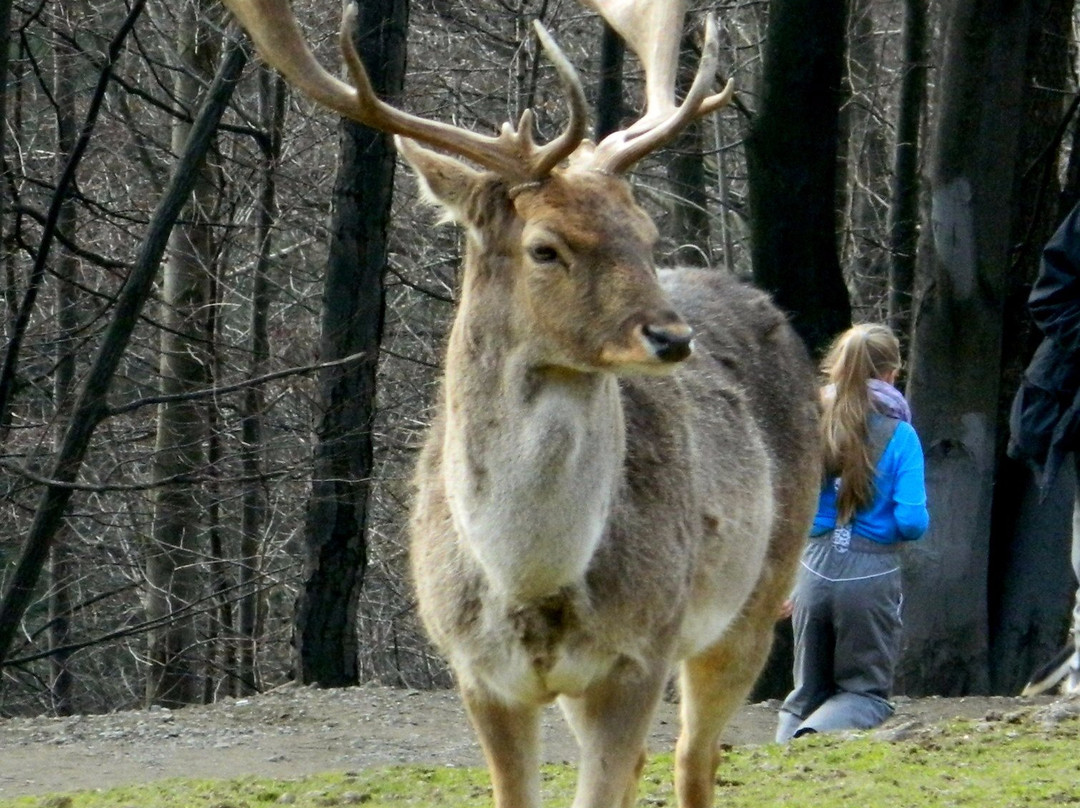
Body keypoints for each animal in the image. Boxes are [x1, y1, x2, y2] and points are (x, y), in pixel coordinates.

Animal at [223, 1, 820, 808]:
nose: (671, 337)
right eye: (546, 246)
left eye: (646, 233)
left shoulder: (640, 653)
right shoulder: (478, 674)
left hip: (758, 597)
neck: (530, 580)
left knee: (696, 758)